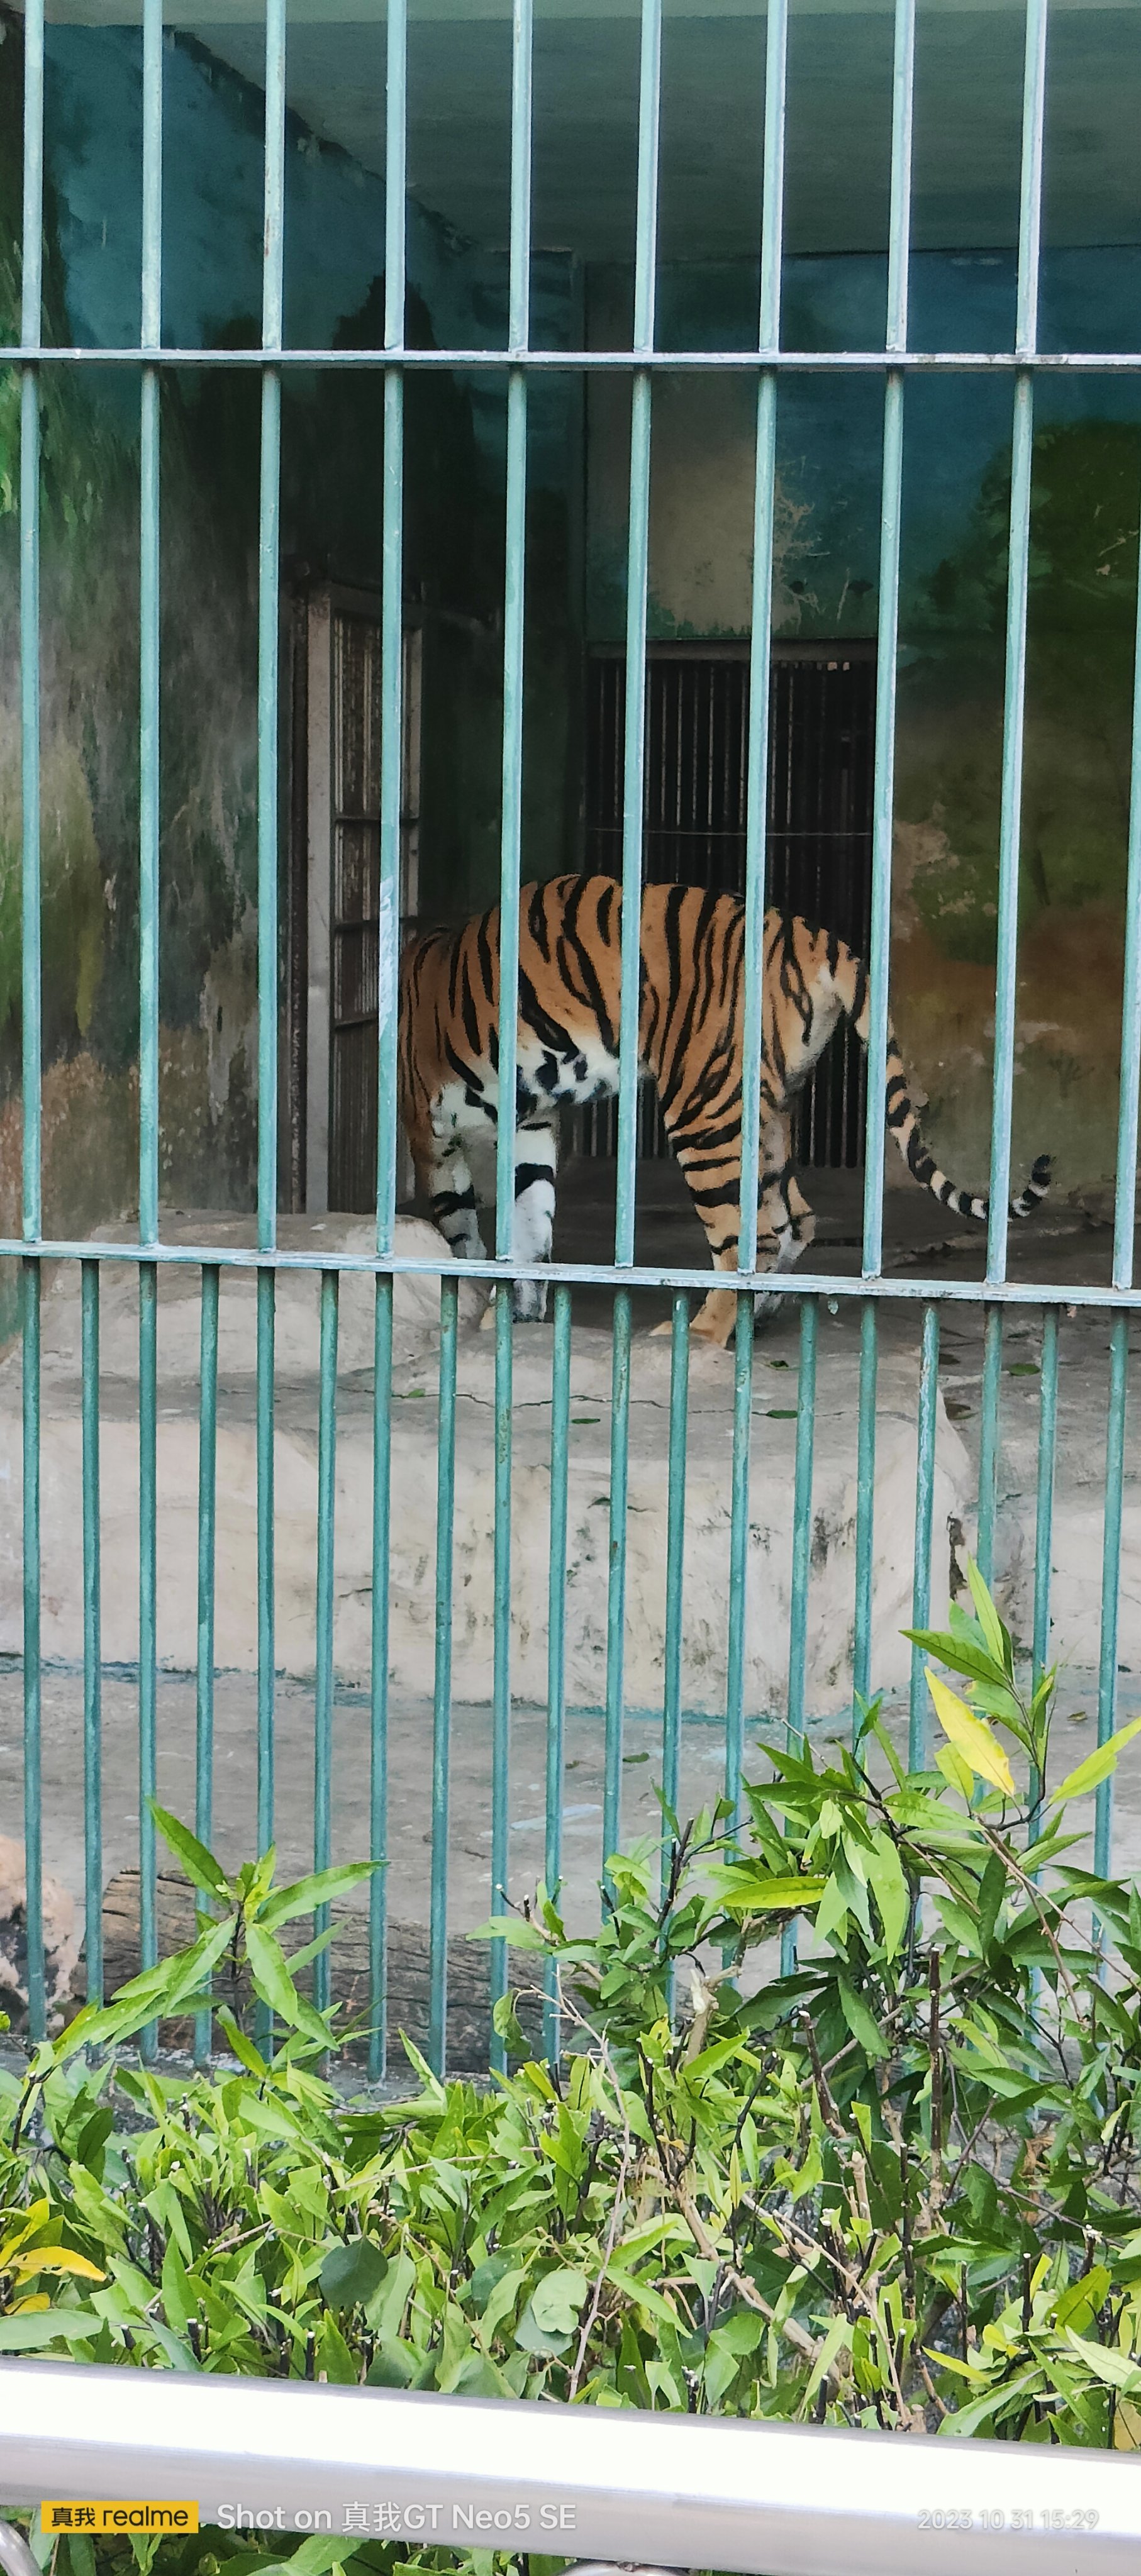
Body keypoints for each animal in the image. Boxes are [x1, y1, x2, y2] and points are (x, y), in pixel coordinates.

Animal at [396, 870, 1050, 1350]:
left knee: (747, 1238)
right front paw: (516, 1316)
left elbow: (463, 1233)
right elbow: (530, 1222)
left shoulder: (429, 1133)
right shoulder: (530, 1124)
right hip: (767, 1111)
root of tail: (807, 933)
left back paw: (701, 1333)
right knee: (794, 1218)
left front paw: (477, 1312)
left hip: (703, 1108)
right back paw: (758, 1317)